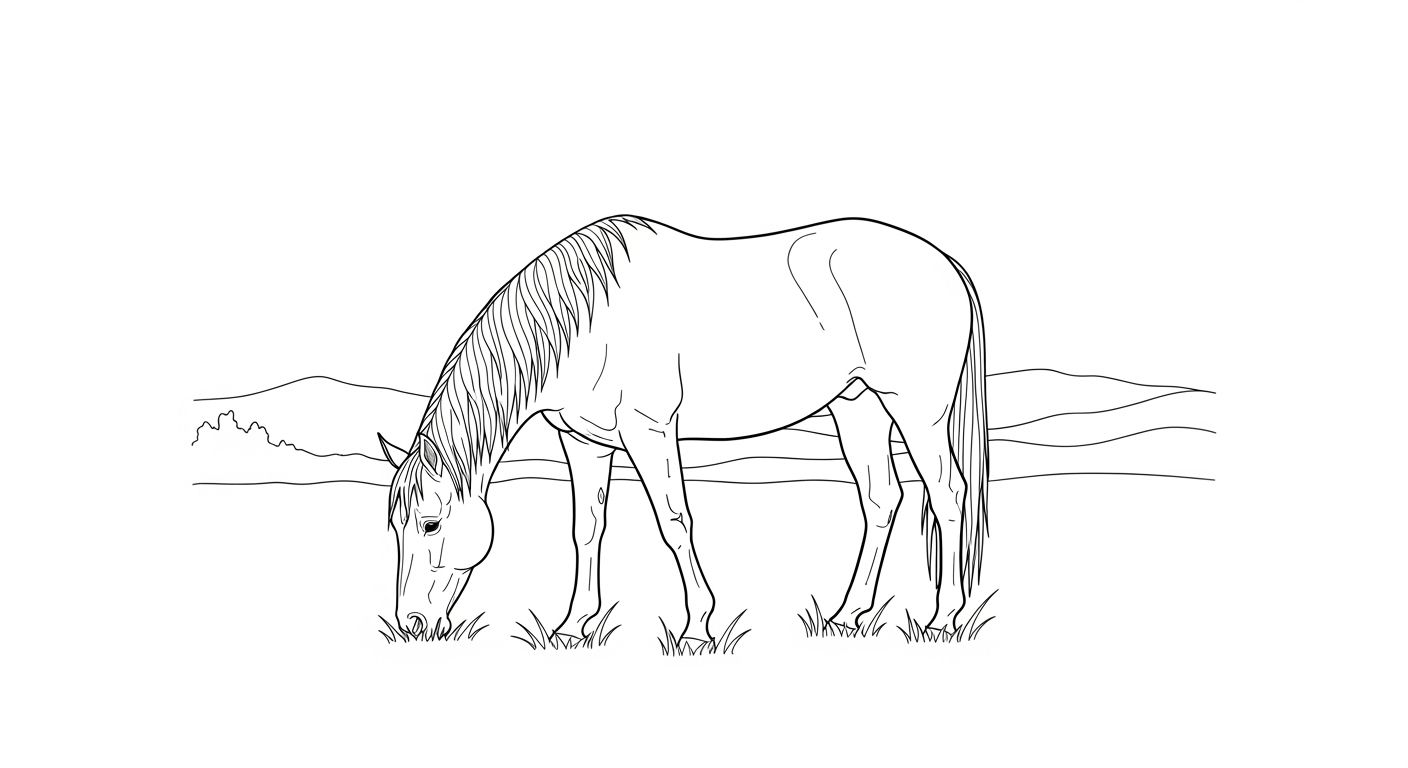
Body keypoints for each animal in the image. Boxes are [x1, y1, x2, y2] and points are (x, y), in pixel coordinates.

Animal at [377, 216, 988, 642]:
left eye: (430, 524)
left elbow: (674, 523)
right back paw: (847, 615)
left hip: (918, 413)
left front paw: (698, 627)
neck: (588, 324)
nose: (411, 624)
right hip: (858, 407)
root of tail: (947, 265)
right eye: (395, 527)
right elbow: (586, 530)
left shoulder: (649, 432)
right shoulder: (583, 442)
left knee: (948, 493)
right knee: (882, 499)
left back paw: (943, 619)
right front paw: (572, 626)